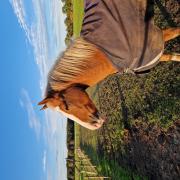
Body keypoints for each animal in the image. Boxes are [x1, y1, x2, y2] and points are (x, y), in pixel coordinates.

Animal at [38, 0, 180, 130]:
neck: (105, 55)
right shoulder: (146, 57)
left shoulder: (152, 41)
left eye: (67, 106)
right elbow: (169, 56)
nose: (95, 126)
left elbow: (175, 32)